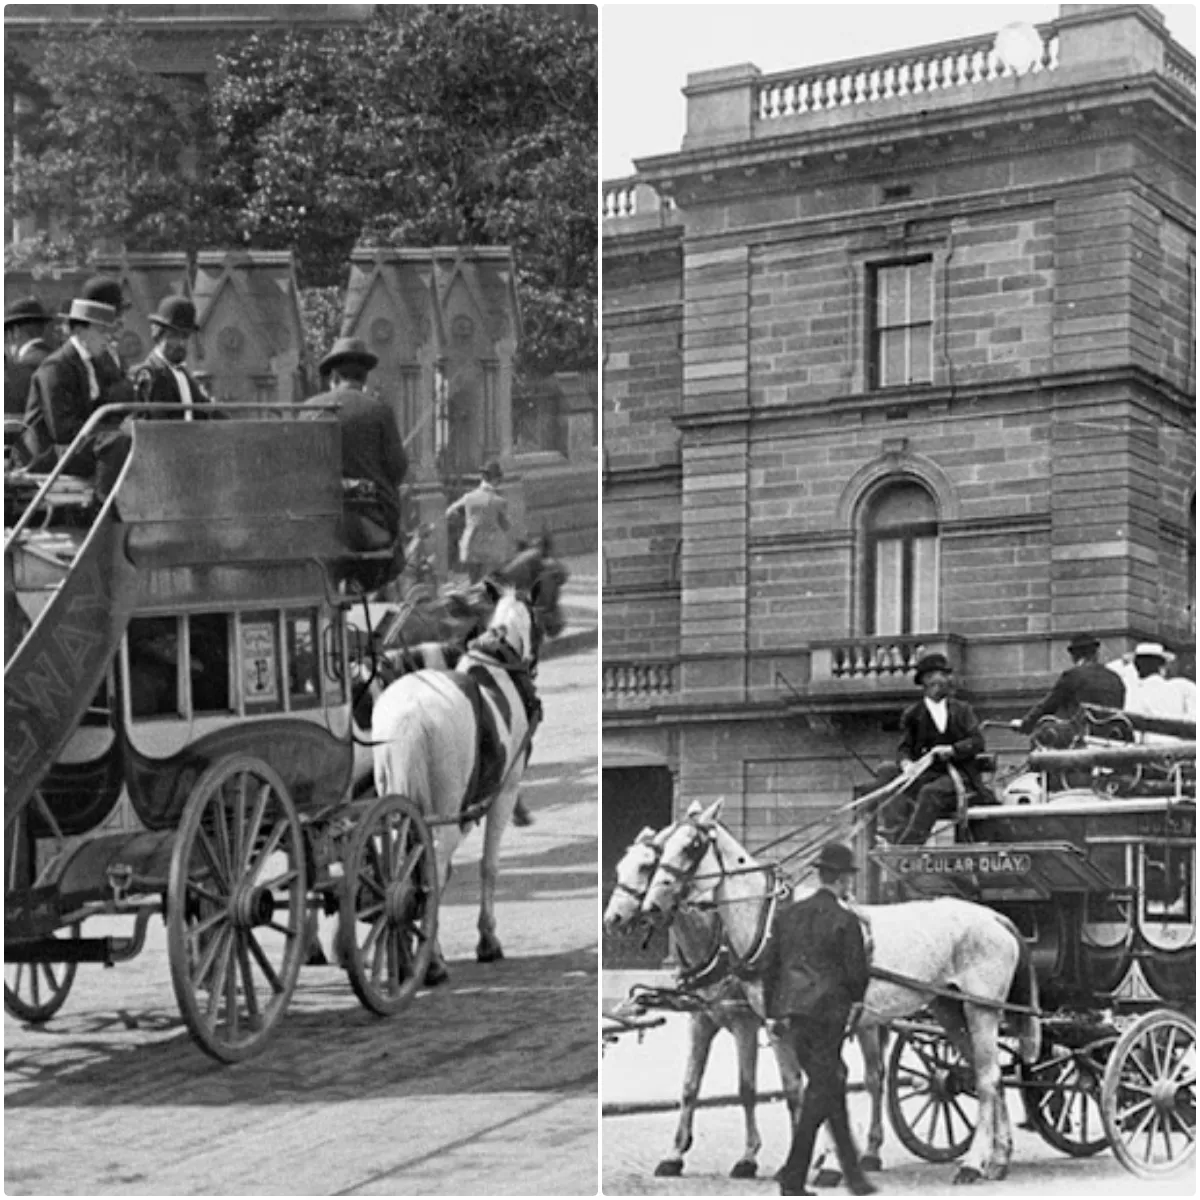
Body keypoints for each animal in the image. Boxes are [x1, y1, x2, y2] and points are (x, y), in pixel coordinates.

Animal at [369, 583, 544, 984]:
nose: (533, 666)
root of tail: (410, 718)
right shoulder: (504, 792)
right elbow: (487, 866)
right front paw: (487, 939)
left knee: (403, 866)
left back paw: (407, 956)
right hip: (446, 805)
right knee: (430, 864)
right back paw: (431, 962)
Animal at [648, 801, 1041, 1185]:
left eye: (691, 845)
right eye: (661, 848)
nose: (652, 903)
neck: (770, 925)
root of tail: (993, 917)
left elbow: (819, 1084)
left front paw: (825, 1163)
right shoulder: (777, 1026)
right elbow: (795, 1089)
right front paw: (800, 1164)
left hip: (981, 1010)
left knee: (988, 1079)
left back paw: (973, 1164)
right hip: (950, 1009)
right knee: (986, 1074)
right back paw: (998, 1158)